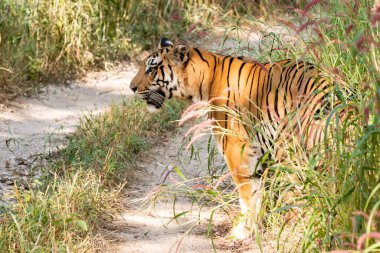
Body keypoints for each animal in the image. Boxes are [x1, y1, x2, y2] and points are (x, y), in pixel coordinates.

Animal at [130, 37, 348, 239]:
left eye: (151, 69)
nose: (131, 88)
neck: (202, 81)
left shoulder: (236, 147)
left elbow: (247, 193)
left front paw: (243, 230)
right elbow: (260, 191)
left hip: (290, 153)